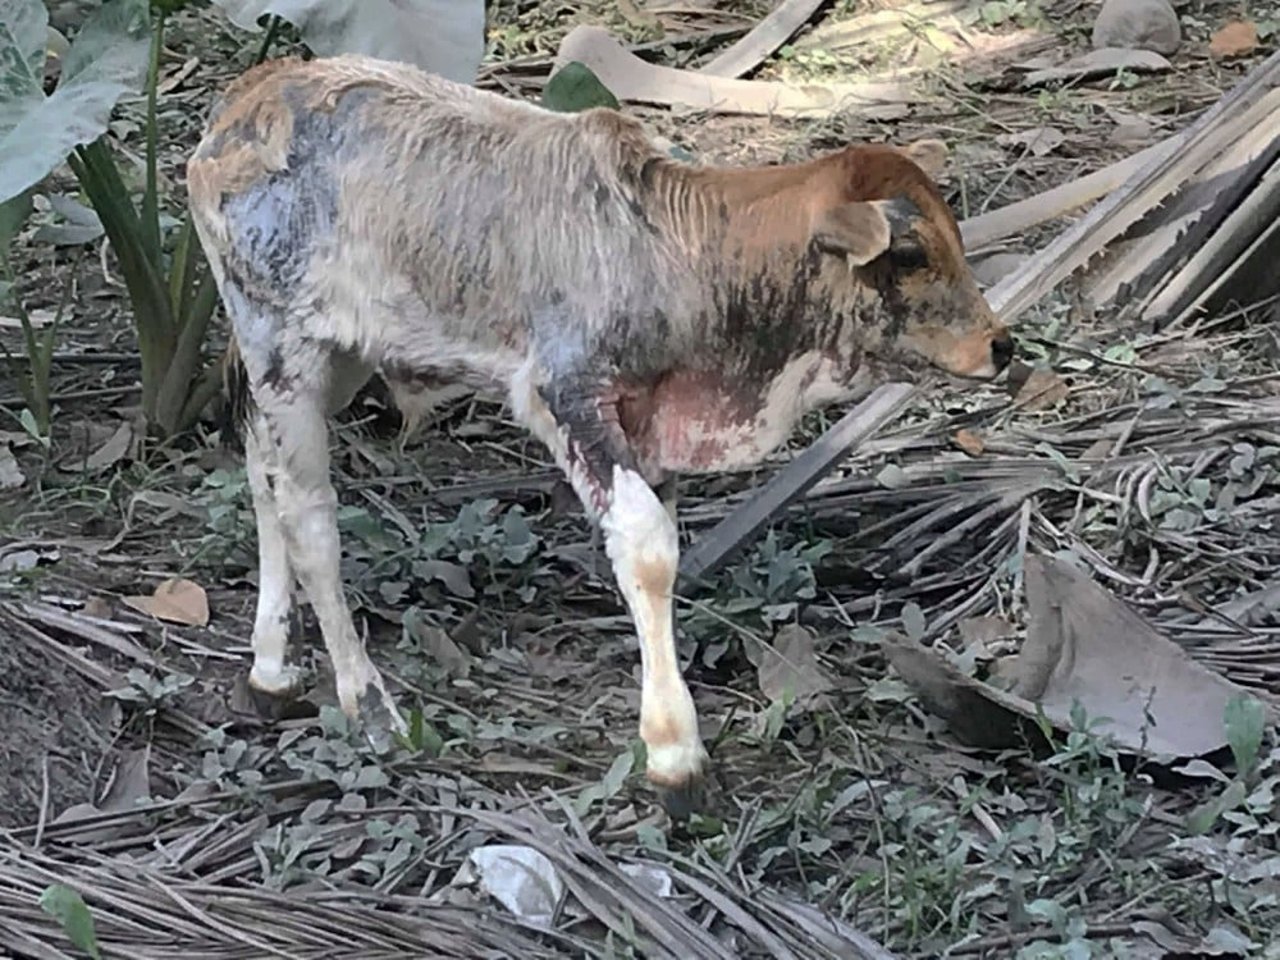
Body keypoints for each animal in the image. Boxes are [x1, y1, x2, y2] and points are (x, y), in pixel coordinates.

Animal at [186, 56, 1008, 814]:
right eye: (910, 253)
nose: (1000, 346)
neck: (676, 252)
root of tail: (251, 94)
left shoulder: (651, 420)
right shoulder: (565, 395)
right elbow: (646, 547)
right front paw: (676, 755)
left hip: (337, 356)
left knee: (262, 473)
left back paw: (271, 671)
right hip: (281, 344)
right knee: (308, 519)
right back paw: (368, 704)